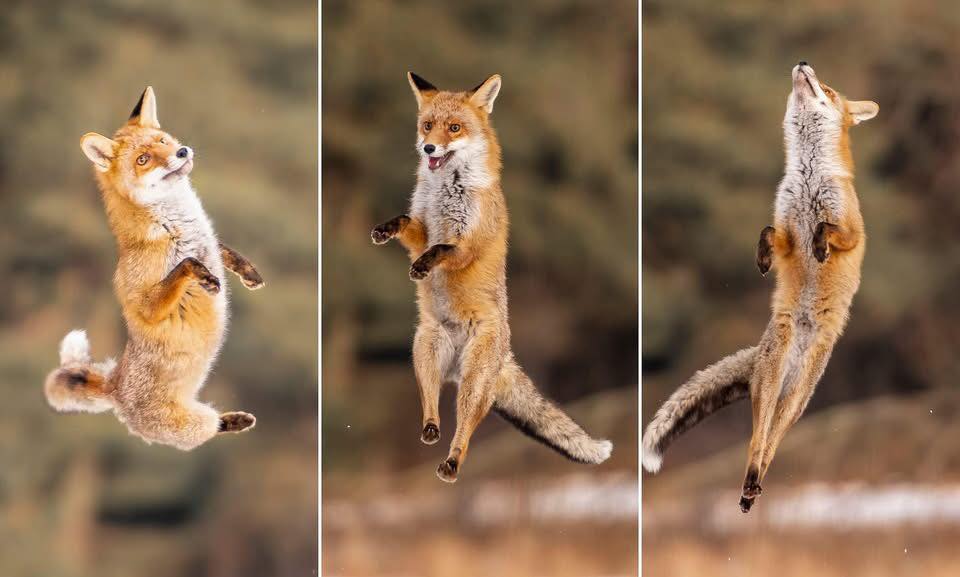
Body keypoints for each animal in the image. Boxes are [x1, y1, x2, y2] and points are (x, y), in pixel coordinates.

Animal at [44, 87, 265, 450]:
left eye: (162, 141)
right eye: (143, 160)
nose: (181, 150)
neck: (175, 225)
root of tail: (115, 387)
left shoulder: (209, 241)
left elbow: (222, 250)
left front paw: (248, 273)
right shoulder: (143, 305)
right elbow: (185, 265)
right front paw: (204, 277)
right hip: (191, 425)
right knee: (208, 428)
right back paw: (234, 422)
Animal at [371, 72, 613, 482]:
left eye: (454, 128)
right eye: (427, 125)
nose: (428, 147)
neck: (444, 192)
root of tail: (504, 353)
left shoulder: (468, 242)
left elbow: (444, 249)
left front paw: (423, 267)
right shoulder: (421, 228)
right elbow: (407, 223)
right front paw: (385, 229)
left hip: (473, 385)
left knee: (465, 432)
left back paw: (452, 464)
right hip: (424, 352)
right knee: (432, 406)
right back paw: (431, 428)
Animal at [641, 62, 878, 512]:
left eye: (827, 89)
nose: (803, 63)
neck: (808, 176)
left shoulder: (852, 231)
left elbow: (827, 228)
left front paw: (820, 245)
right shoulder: (785, 229)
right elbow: (770, 233)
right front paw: (763, 259)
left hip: (796, 404)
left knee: (771, 446)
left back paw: (754, 485)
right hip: (771, 388)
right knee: (756, 440)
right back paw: (749, 483)